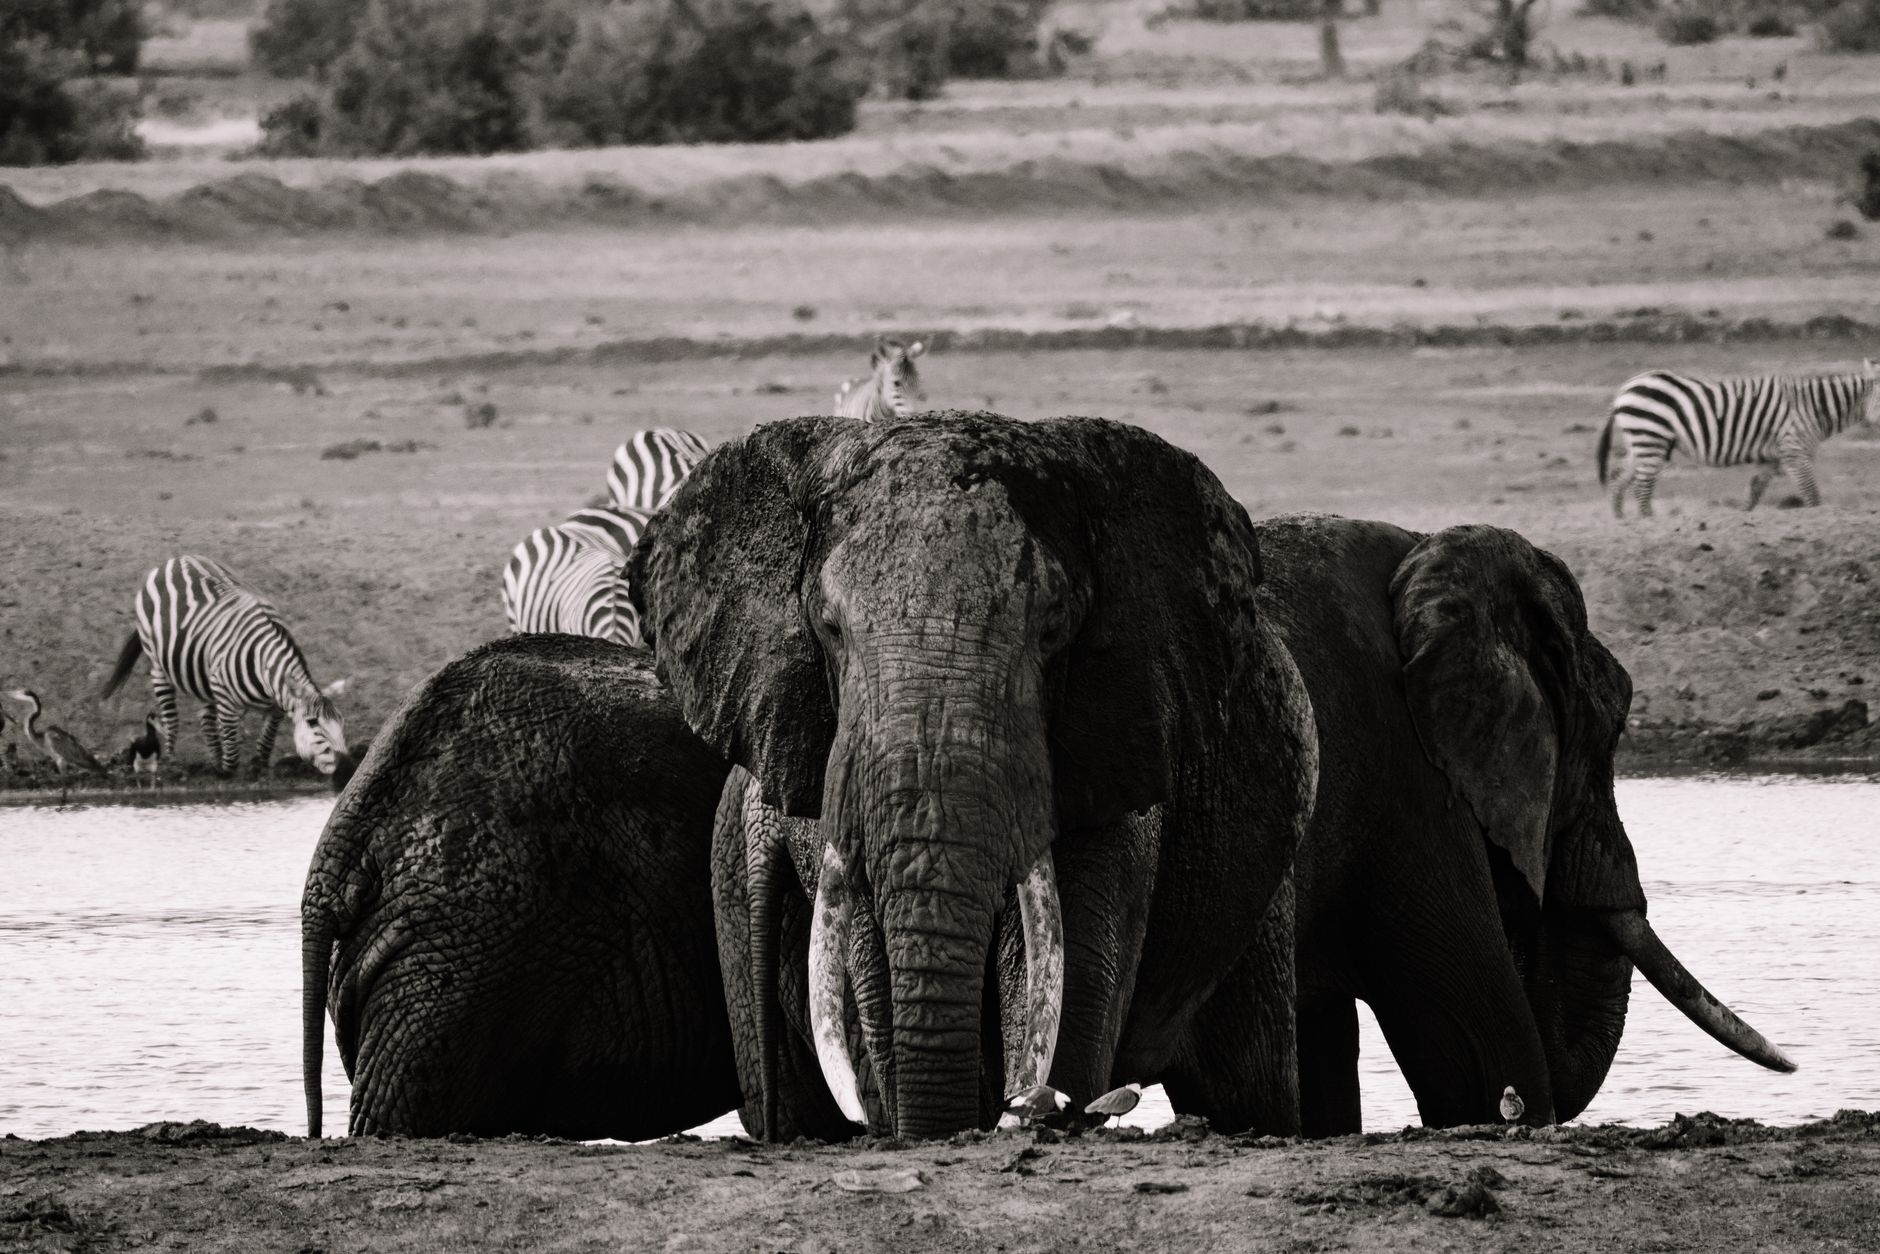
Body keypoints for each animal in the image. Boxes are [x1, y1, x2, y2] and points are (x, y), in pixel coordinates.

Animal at [631, 411, 1319, 1140]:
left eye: (1052, 629)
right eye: (830, 628)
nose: (1018, 1109)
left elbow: (1067, 971)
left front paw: (1038, 1106)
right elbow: (875, 966)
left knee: (1251, 1082)